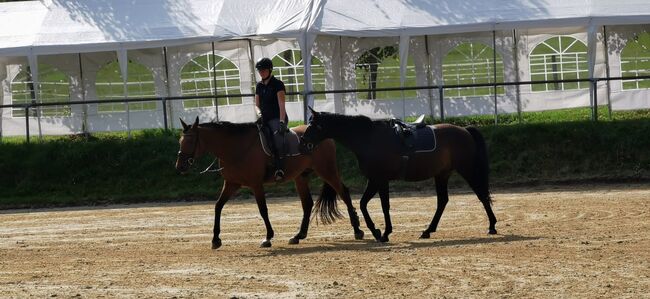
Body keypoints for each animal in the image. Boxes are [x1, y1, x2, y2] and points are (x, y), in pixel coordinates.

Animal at [175, 117, 362, 251]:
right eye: (180, 142)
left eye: (190, 141)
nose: (180, 166)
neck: (236, 148)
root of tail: (325, 137)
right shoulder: (231, 184)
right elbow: (218, 206)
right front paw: (215, 239)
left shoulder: (256, 184)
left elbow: (263, 209)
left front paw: (268, 237)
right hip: (301, 177)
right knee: (307, 203)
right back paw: (298, 235)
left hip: (327, 171)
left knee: (344, 193)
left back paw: (357, 230)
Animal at [300, 109, 496, 244]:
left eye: (313, 124)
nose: (302, 141)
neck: (368, 138)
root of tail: (464, 130)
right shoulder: (374, 180)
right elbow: (364, 204)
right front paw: (377, 231)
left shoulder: (380, 180)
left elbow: (383, 206)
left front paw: (383, 233)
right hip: (442, 174)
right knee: (442, 201)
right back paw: (428, 230)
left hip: (467, 169)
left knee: (481, 194)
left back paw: (492, 226)